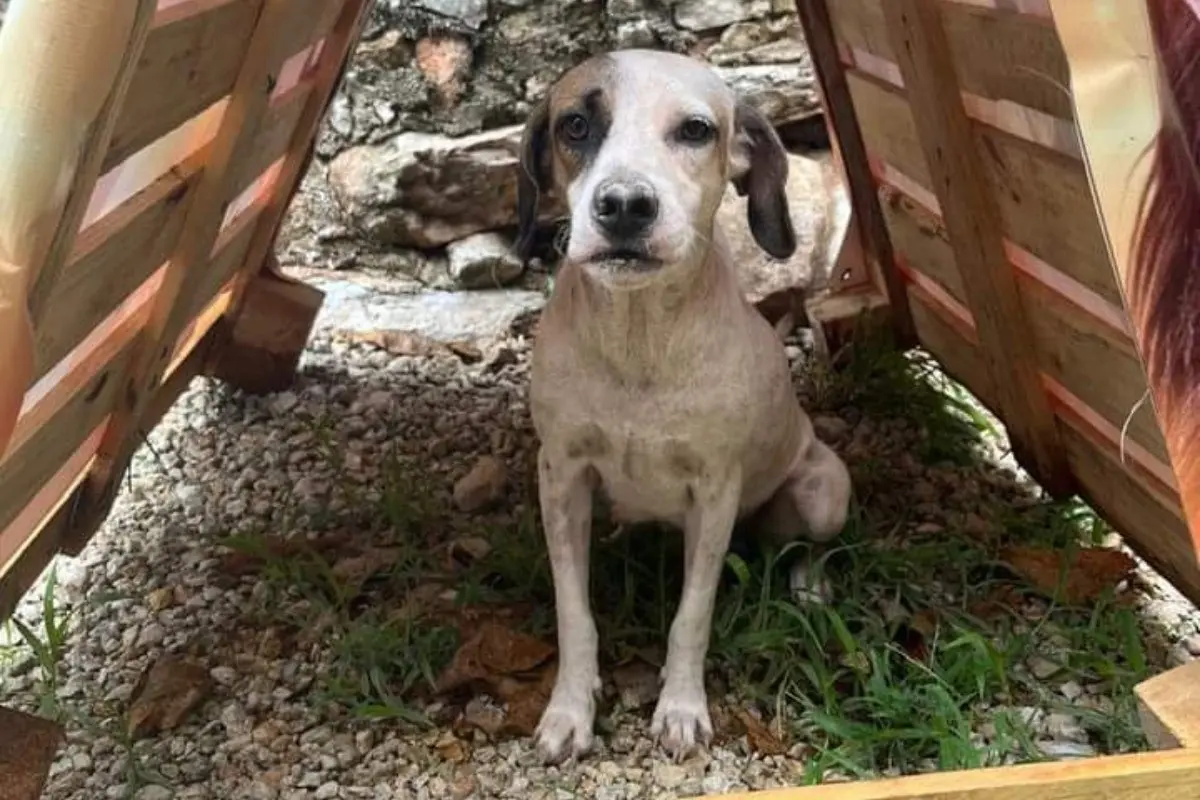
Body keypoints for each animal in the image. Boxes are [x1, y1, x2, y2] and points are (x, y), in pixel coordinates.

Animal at [516, 48, 854, 762]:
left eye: (696, 130)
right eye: (575, 125)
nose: (624, 205)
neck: (640, 342)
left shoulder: (715, 490)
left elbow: (691, 615)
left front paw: (680, 708)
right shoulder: (561, 477)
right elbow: (574, 613)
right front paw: (570, 710)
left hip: (824, 490)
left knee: (809, 545)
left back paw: (811, 584)